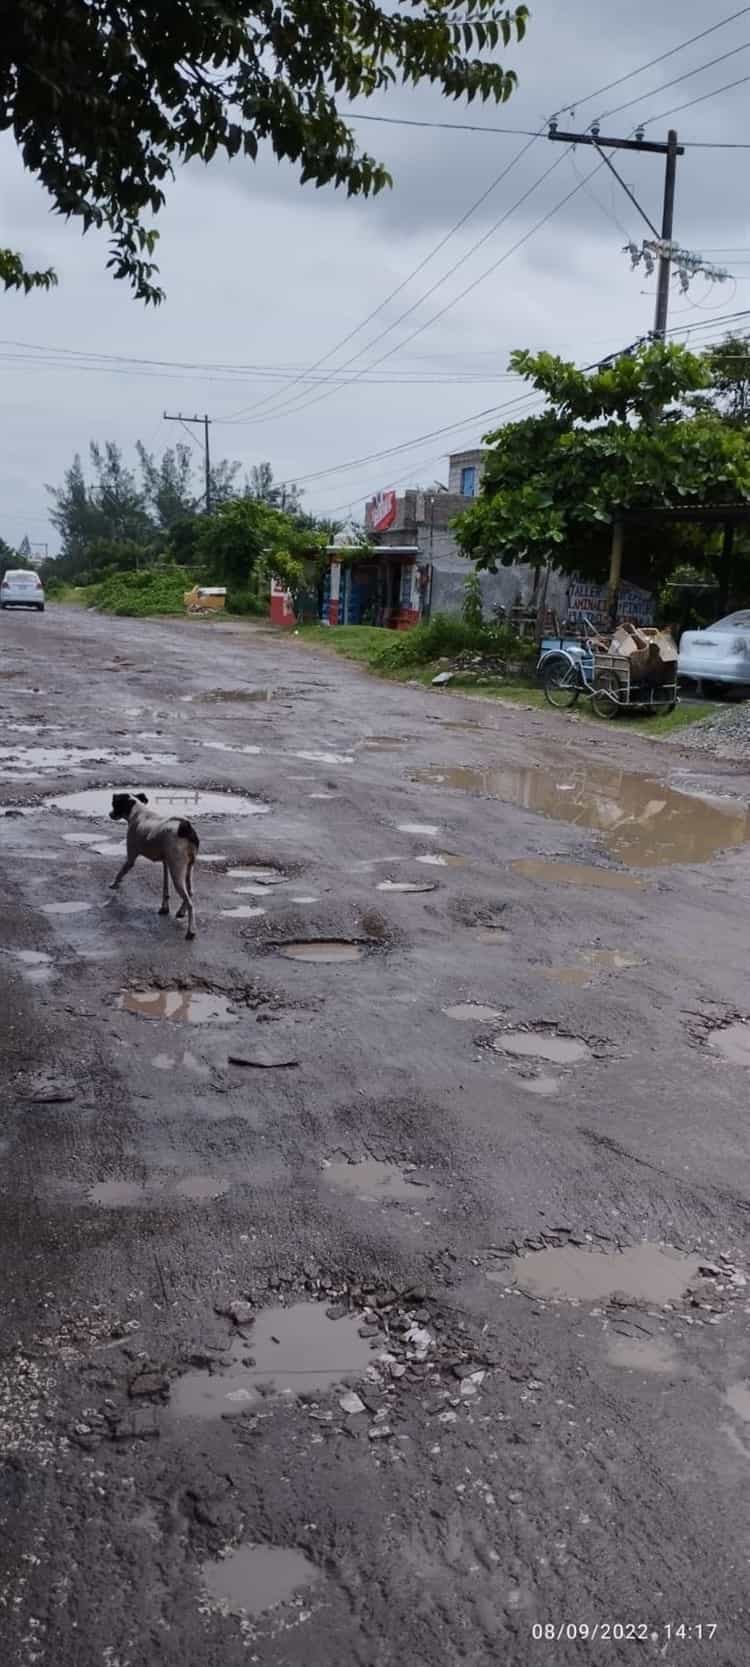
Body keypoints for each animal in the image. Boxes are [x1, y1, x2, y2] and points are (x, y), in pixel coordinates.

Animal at [107, 793, 199, 940]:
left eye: (115, 804)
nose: (110, 814)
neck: (138, 813)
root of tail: (185, 828)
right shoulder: (166, 863)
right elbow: (165, 888)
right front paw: (164, 908)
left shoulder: (131, 858)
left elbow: (121, 872)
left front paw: (114, 884)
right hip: (187, 868)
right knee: (190, 892)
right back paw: (181, 911)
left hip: (177, 873)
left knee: (190, 903)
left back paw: (191, 931)